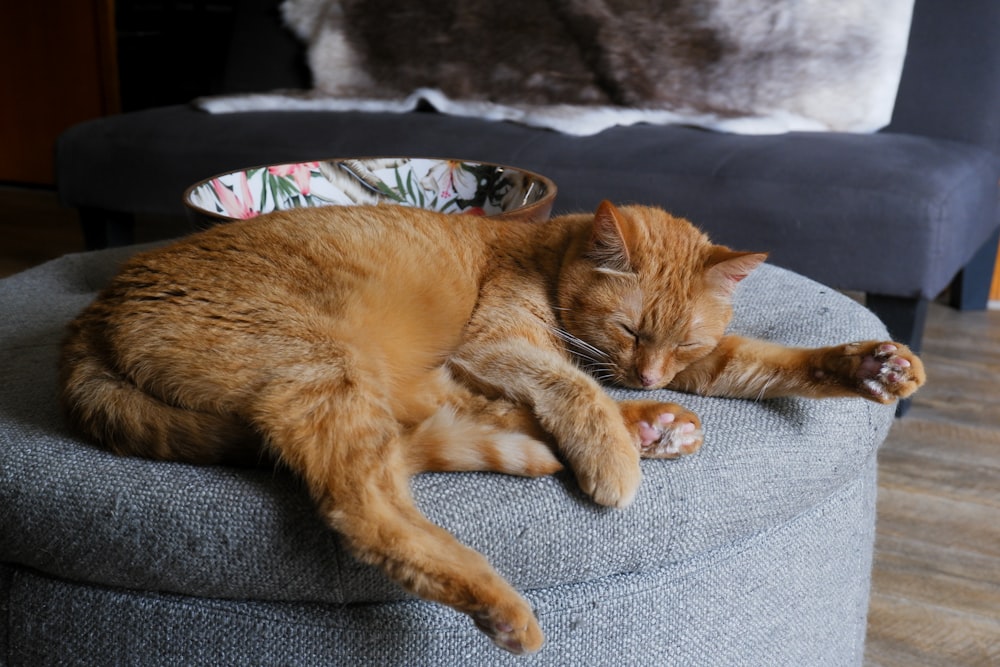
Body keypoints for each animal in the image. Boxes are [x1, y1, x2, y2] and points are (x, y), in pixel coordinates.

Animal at [58, 201, 924, 656]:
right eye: (629, 329)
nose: (650, 377)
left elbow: (763, 361)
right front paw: (613, 456)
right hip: (329, 369)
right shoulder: (500, 344)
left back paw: (646, 429)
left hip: (375, 376)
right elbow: (574, 385)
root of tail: (91, 319)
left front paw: (870, 368)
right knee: (365, 504)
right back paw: (506, 590)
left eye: (679, 343)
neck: (545, 254)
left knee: (428, 434)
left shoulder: (693, 362)